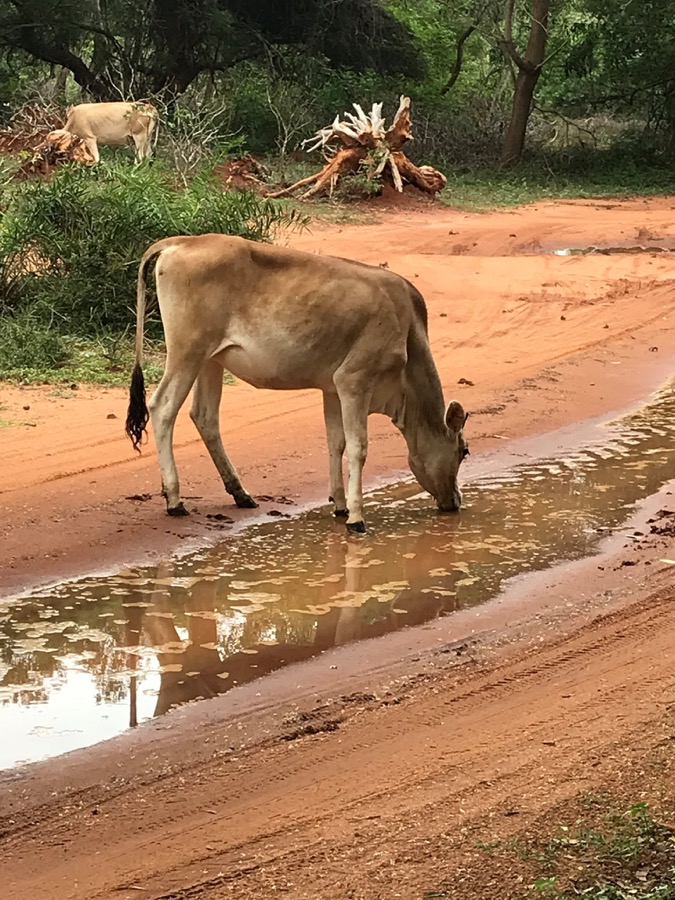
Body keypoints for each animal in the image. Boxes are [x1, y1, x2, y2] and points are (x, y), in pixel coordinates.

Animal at [125, 234, 469, 532]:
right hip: (188, 351)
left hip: (212, 360)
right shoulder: (354, 380)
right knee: (162, 408)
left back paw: (241, 493)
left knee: (205, 416)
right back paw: (174, 499)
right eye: (464, 451)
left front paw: (340, 505)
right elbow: (358, 447)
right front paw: (356, 518)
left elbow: (336, 443)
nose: (455, 501)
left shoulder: (333, 388)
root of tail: (183, 241)